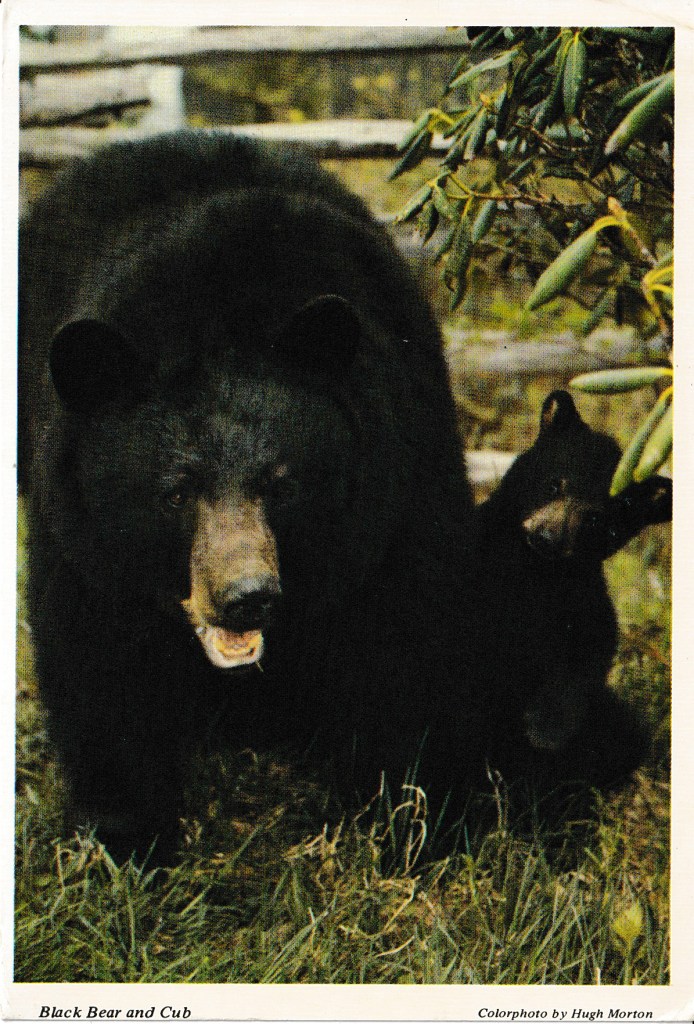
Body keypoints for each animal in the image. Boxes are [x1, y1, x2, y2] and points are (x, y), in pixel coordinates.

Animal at [18, 130, 480, 862]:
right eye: (176, 492)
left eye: (282, 483)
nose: (247, 595)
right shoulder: (83, 534)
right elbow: (100, 663)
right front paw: (129, 839)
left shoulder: (395, 481)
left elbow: (411, 637)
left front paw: (418, 822)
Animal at [463, 389, 671, 809]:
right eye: (554, 485)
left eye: (596, 519)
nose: (547, 538)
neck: (536, 571)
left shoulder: (582, 597)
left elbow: (587, 654)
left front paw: (545, 729)